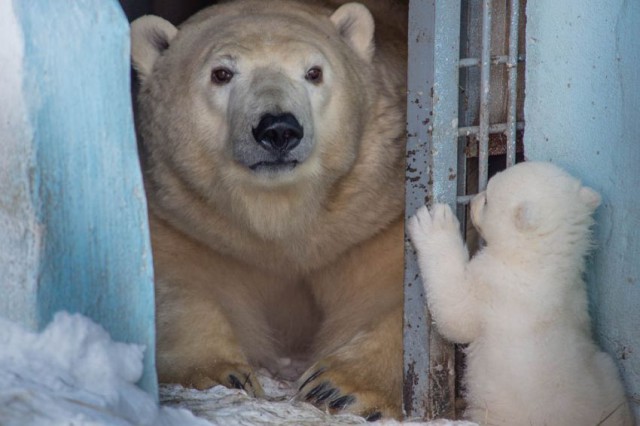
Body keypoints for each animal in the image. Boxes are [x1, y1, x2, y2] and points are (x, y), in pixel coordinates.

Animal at [131, 0, 404, 420]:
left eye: (314, 72)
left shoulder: (371, 217)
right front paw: (219, 374)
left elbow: (396, 291)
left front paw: (338, 389)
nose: (278, 129)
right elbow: (178, 285)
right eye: (222, 73)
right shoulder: (190, 221)